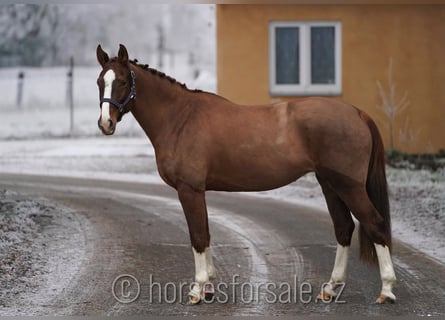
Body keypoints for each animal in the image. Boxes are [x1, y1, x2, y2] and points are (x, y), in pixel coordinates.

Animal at [95, 45, 394, 304]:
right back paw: (330, 289)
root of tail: (357, 113)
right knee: (344, 229)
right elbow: (206, 234)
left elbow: (197, 236)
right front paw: (209, 287)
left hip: (349, 186)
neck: (180, 118)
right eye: (100, 82)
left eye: (123, 81)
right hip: (330, 184)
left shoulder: (189, 189)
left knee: (375, 224)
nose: (105, 123)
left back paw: (387, 290)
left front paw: (197, 290)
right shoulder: (198, 191)